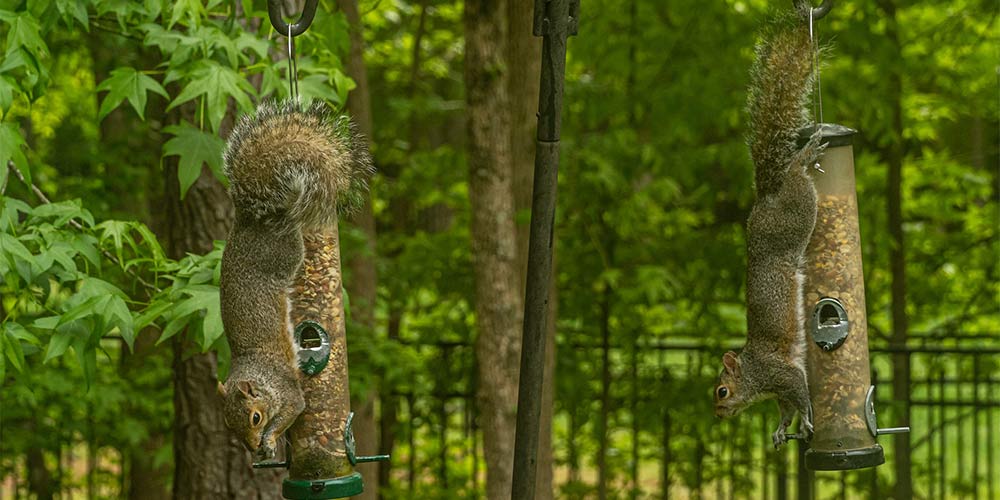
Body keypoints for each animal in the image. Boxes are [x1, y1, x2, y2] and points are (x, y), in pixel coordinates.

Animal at [217, 99, 374, 458]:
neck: (259, 375)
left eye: (256, 417)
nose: (251, 449)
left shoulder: (288, 392)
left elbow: (294, 408)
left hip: (283, 252)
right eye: (229, 425)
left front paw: (271, 439)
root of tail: (250, 219)